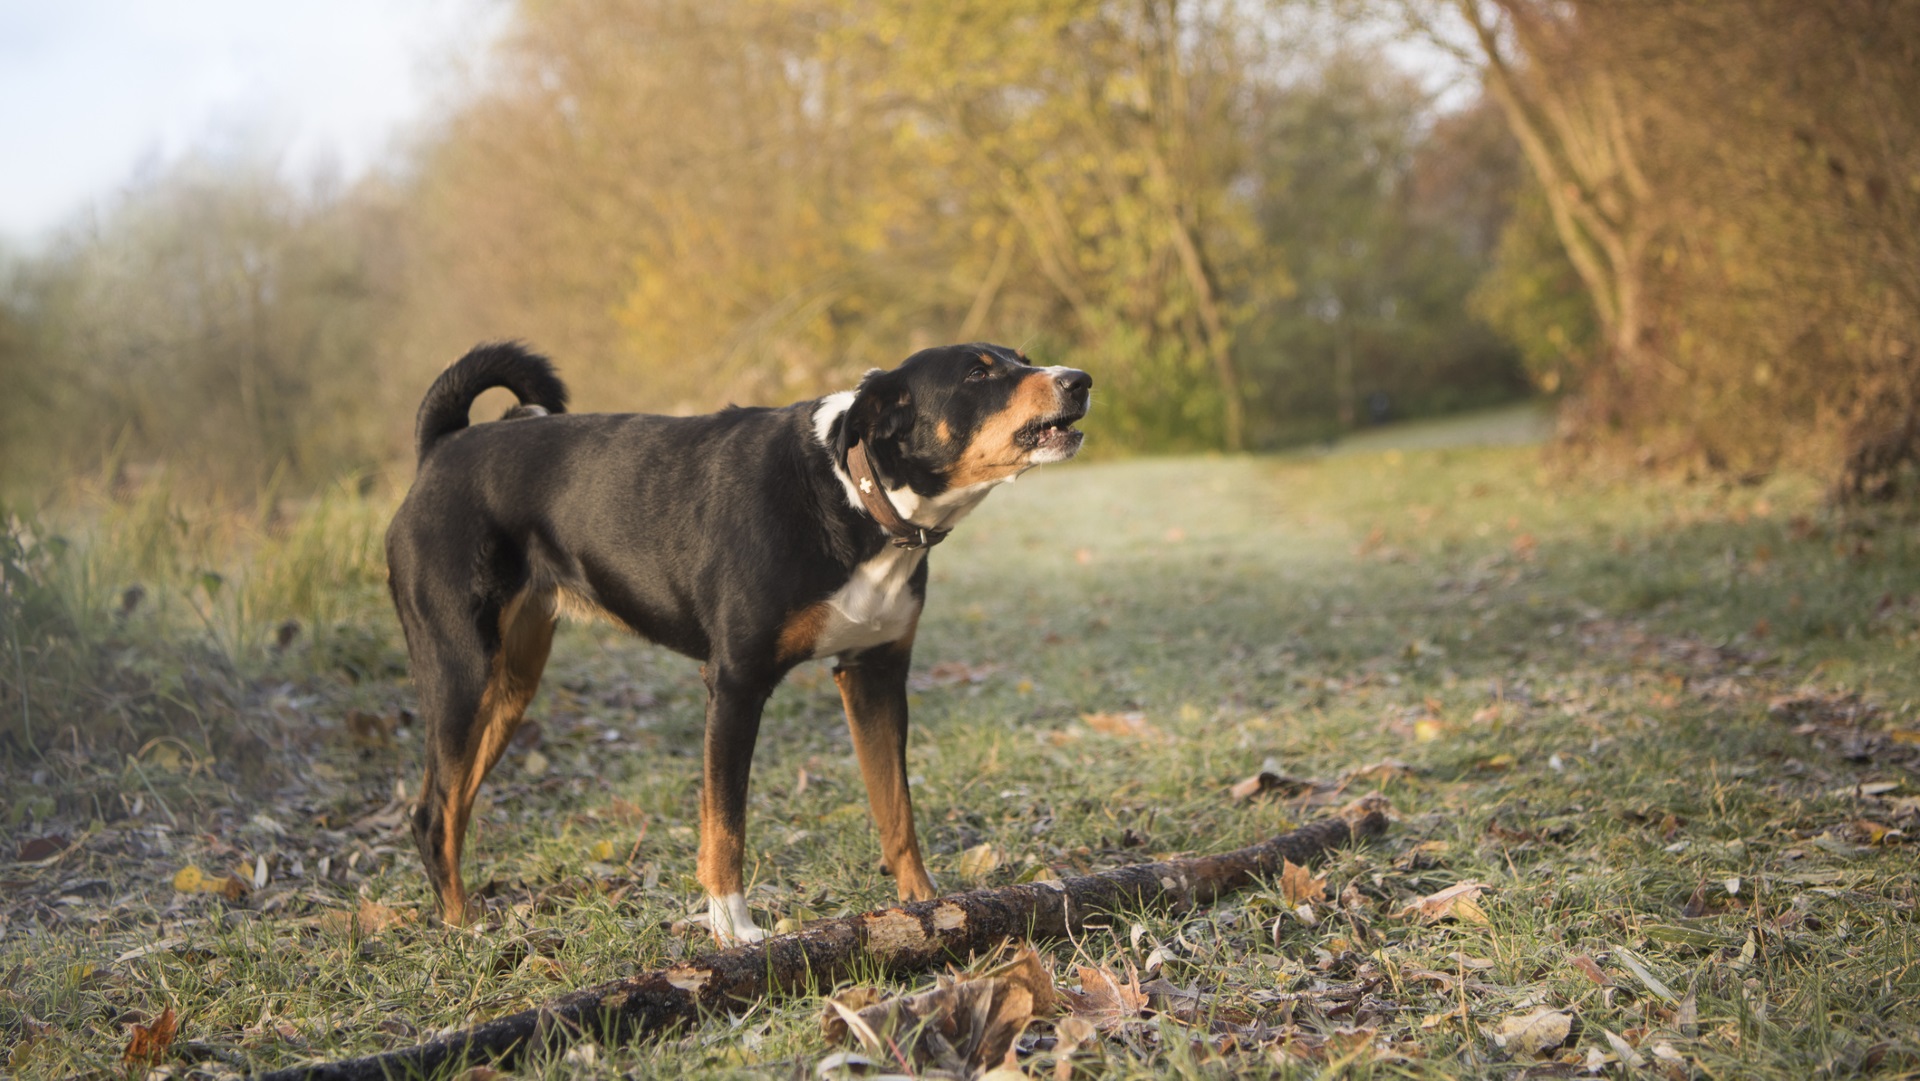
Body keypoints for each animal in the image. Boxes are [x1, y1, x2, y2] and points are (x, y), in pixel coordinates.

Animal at [385, 341, 1098, 944]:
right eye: (978, 373)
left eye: (1021, 358)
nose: (1080, 380)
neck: (850, 493)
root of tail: (442, 448)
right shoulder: (735, 685)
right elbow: (725, 826)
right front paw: (734, 931)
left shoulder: (874, 674)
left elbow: (897, 811)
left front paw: (925, 907)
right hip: (461, 672)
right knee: (432, 812)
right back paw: (464, 931)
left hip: (511, 683)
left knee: (453, 805)